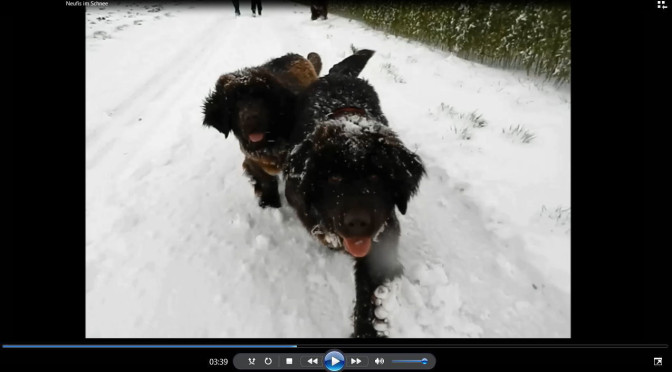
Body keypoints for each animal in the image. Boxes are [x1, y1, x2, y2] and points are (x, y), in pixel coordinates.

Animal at [284, 48, 426, 338]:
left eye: (376, 176)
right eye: (333, 177)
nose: (358, 223)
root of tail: (339, 75)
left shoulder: (385, 229)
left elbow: (371, 285)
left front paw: (369, 325)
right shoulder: (299, 198)